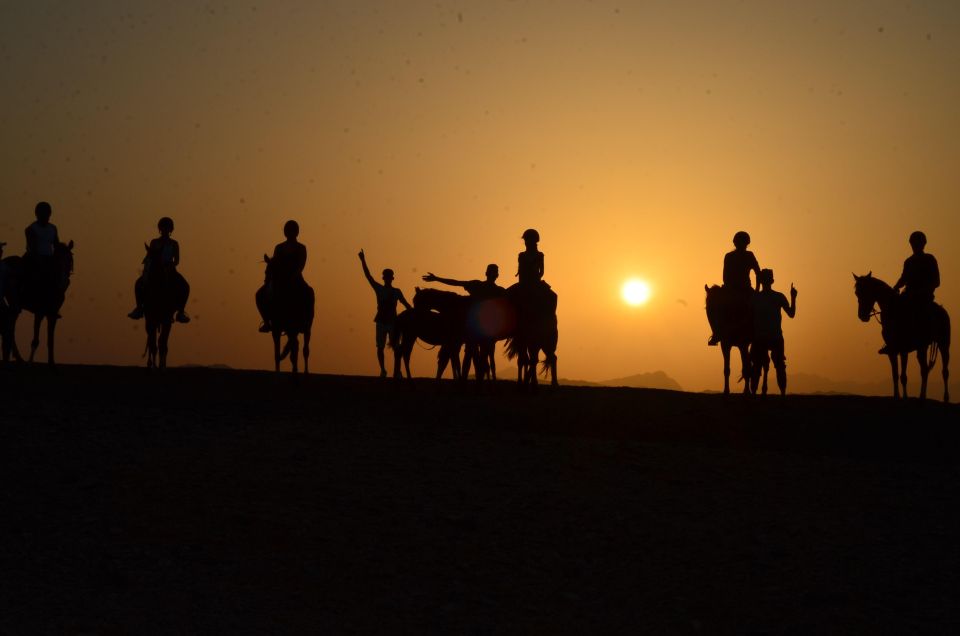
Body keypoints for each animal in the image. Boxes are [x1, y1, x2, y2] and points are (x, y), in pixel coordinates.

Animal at [856, 274, 944, 402]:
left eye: (867, 291)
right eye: (857, 293)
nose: (862, 316)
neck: (894, 312)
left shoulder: (903, 350)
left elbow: (903, 376)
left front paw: (905, 397)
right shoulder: (892, 350)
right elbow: (895, 374)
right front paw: (896, 396)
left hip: (941, 344)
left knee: (936, 371)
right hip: (922, 348)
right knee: (925, 370)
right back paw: (922, 396)